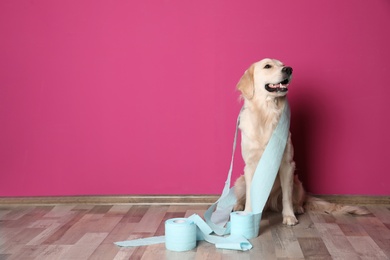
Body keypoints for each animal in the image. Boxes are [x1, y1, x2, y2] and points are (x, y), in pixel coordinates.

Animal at [233, 58, 370, 224]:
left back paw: (297, 208)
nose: (289, 69)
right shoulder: (251, 165)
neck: (267, 114)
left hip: (297, 183)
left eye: (282, 64)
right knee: (241, 197)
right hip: (240, 182)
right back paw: (238, 206)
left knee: (297, 199)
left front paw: (289, 216)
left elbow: (286, 197)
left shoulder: (287, 164)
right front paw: (248, 213)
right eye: (267, 66)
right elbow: (250, 195)